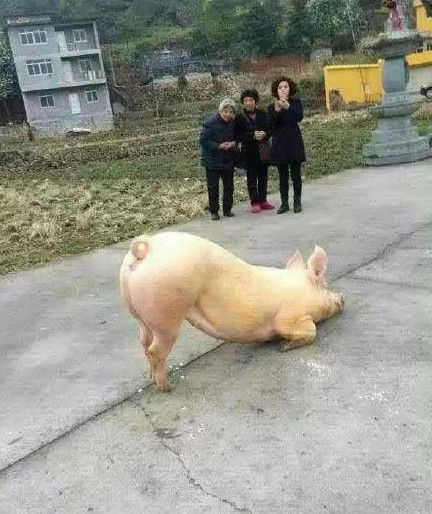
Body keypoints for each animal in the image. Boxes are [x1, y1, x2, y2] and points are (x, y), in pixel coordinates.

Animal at [120, 231, 344, 391]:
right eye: (325, 285)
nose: (342, 298)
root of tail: (147, 248)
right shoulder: (289, 316)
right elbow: (310, 331)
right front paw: (283, 347)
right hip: (167, 315)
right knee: (154, 350)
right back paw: (168, 387)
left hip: (140, 315)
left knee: (144, 343)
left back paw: (154, 379)